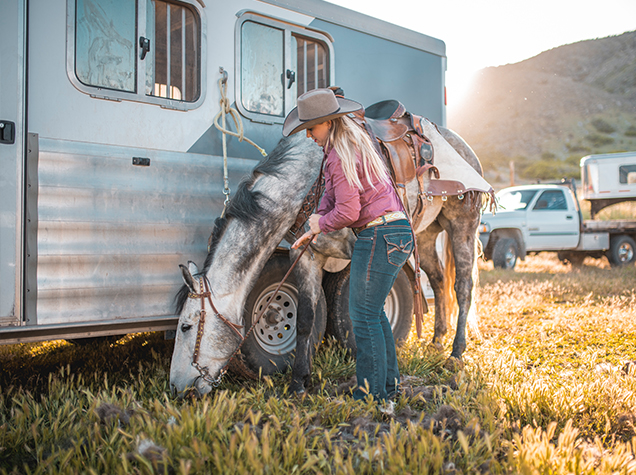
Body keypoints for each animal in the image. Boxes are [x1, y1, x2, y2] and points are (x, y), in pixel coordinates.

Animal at [169, 125, 482, 394]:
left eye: (186, 326)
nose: (175, 387)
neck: (308, 185)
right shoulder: (306, 256)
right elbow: (305, 319)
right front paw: (300, 380)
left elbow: (365, 311)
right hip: (426, 235)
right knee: (439, 280)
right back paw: (437, 340)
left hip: (463, 225)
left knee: (463, 287)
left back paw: (455, 352)